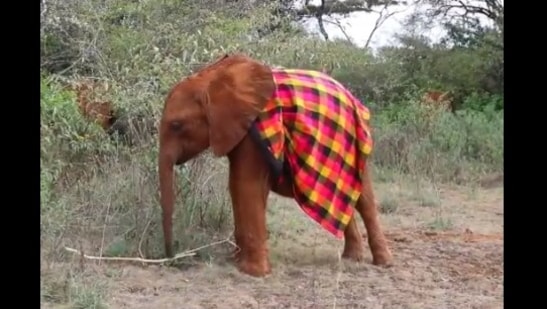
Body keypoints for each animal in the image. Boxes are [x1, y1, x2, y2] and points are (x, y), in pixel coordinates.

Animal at [158, 53, 394, 276]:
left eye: (176, 125)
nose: (173, 259)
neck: (209, 79)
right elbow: (239, 186)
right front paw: (239, 263)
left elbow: (245, 184)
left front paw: (253, 273)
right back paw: (351, 258)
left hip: (354, 140)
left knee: (365, 198)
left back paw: (384, 263)